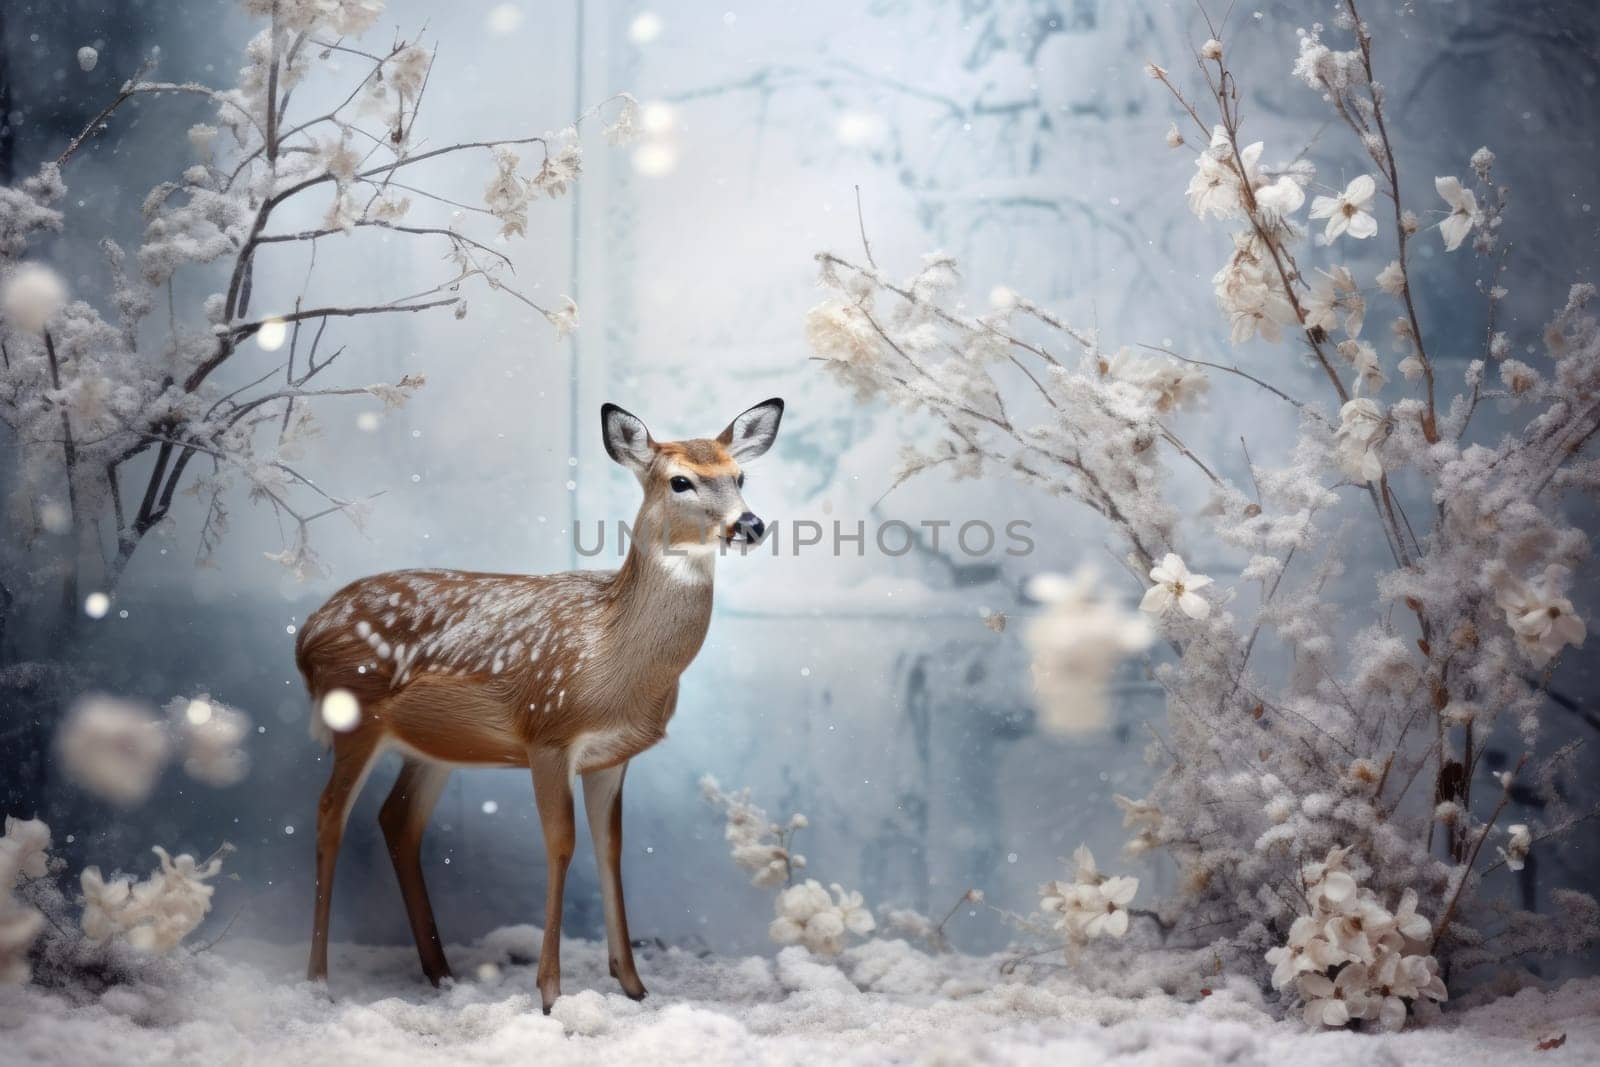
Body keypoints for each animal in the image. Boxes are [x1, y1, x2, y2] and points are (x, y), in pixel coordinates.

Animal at [297, 398, 784, 1011]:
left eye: (740, 476)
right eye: (681, 481)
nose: (750, 524)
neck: (612, 658)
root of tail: (307, 636)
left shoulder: (611, 756)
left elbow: (610, 848)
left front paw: (633, 985)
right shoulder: (548, 732)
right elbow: (561, 844)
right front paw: (551, 992)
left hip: (432, 748)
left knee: (397, 820)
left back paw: (441, 973)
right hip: (353, 713)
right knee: (329, 815)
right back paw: (317, 981)